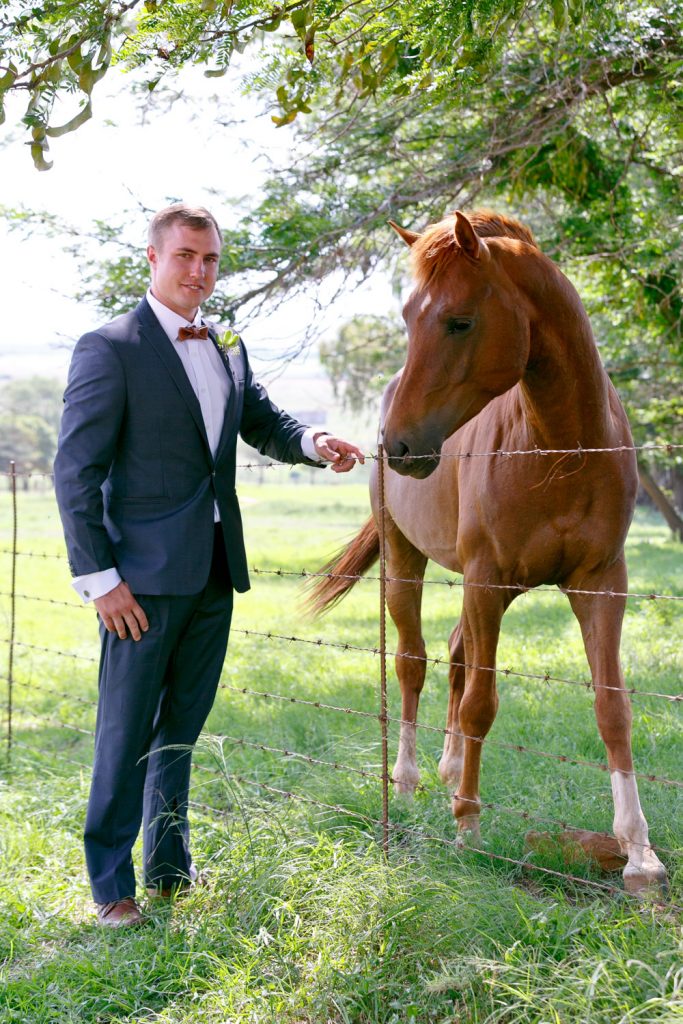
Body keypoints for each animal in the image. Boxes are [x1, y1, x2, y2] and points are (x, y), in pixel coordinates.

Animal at [309, 210, 667, 894]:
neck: (560, 448)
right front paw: (468, 828)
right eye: (407, 318)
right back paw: (410, 782)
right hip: (409, 565)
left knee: (453, 654)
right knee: (414, 663)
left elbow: (612, 709)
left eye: (459, 321)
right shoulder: (486, 579)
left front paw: (639, 852)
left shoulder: (601, 583)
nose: (399, 444)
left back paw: (449, 771)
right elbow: (481, 703)